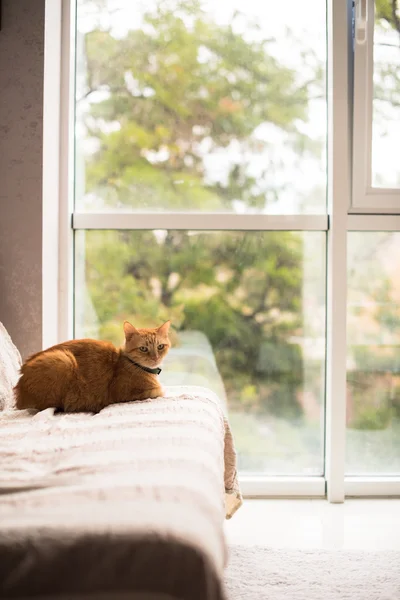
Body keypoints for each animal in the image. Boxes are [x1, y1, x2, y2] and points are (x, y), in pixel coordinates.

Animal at [14, 324, 171, 412]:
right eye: (143, 349)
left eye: (160, 346)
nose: (155, 358)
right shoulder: (127, 394)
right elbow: (161, 391)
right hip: (63, 360)